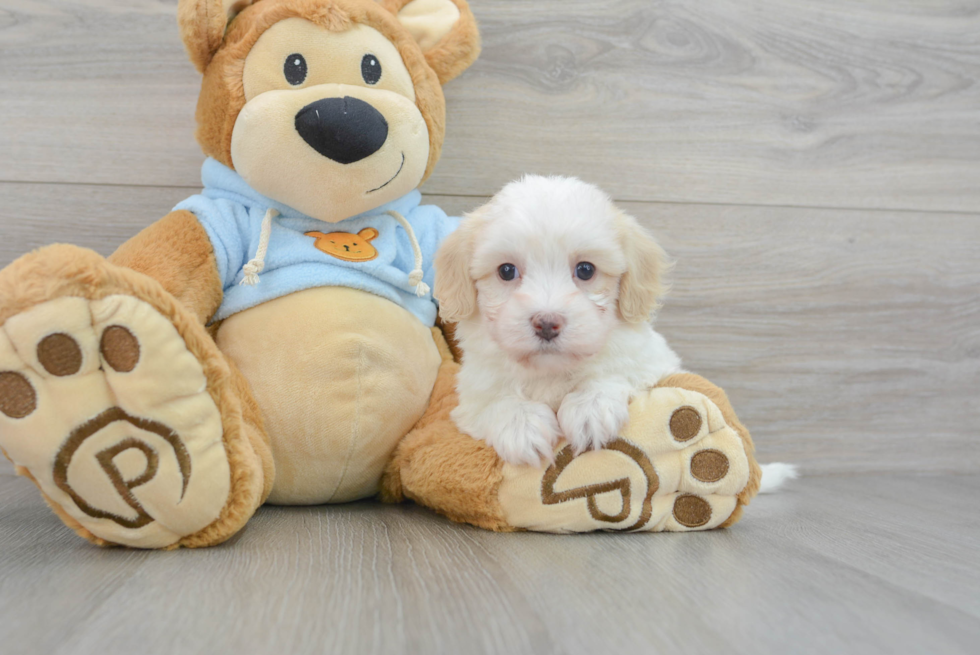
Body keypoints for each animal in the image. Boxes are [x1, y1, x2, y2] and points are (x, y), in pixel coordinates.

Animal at [436, 176, 680, 466]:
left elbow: (615, 371)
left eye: (585, 270)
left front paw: (591, 407)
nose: (546, 323)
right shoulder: (473, 393)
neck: (550, 371)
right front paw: (521, 426)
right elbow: (494, 401)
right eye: (506, 271)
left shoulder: (651, 361)